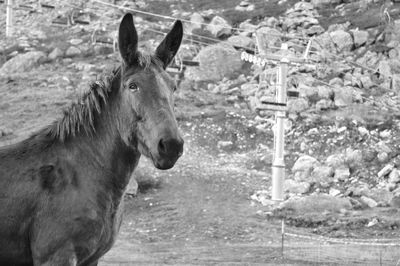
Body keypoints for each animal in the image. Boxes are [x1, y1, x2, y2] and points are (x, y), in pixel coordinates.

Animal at [0, 13, 184, 264]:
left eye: (173, 87)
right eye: (132, 86)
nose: (171, 145)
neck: (80, 173)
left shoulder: (91, 259)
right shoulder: (57, 257)